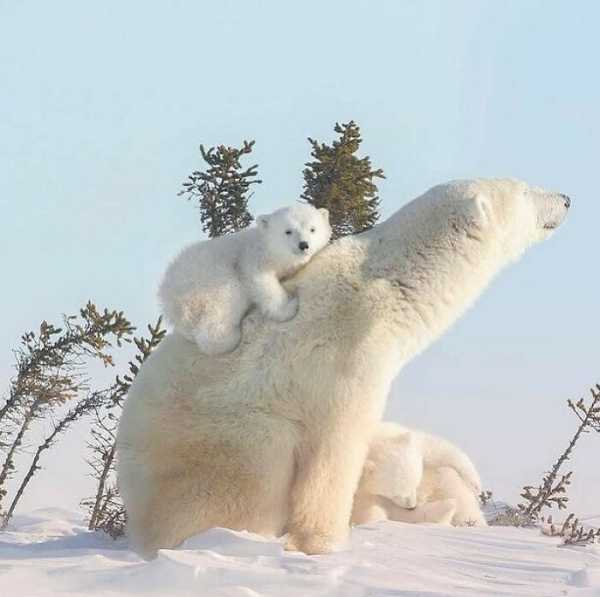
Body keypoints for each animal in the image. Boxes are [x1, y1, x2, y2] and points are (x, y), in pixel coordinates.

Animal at [157, 205, 330, 354]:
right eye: (288, 231)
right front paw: (289, 307)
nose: (304, 245)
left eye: (313, 229)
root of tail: (169, 300)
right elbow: (261, 283)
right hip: (211, 282)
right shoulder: (251, 258)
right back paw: (230, 337)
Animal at [352, 422, 488, 524]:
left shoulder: (401, 436)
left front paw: (475, 484)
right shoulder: (361, 489)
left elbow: (438, 449)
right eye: (396, 495)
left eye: (415, 484)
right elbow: (367, 510)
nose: (413, 506)